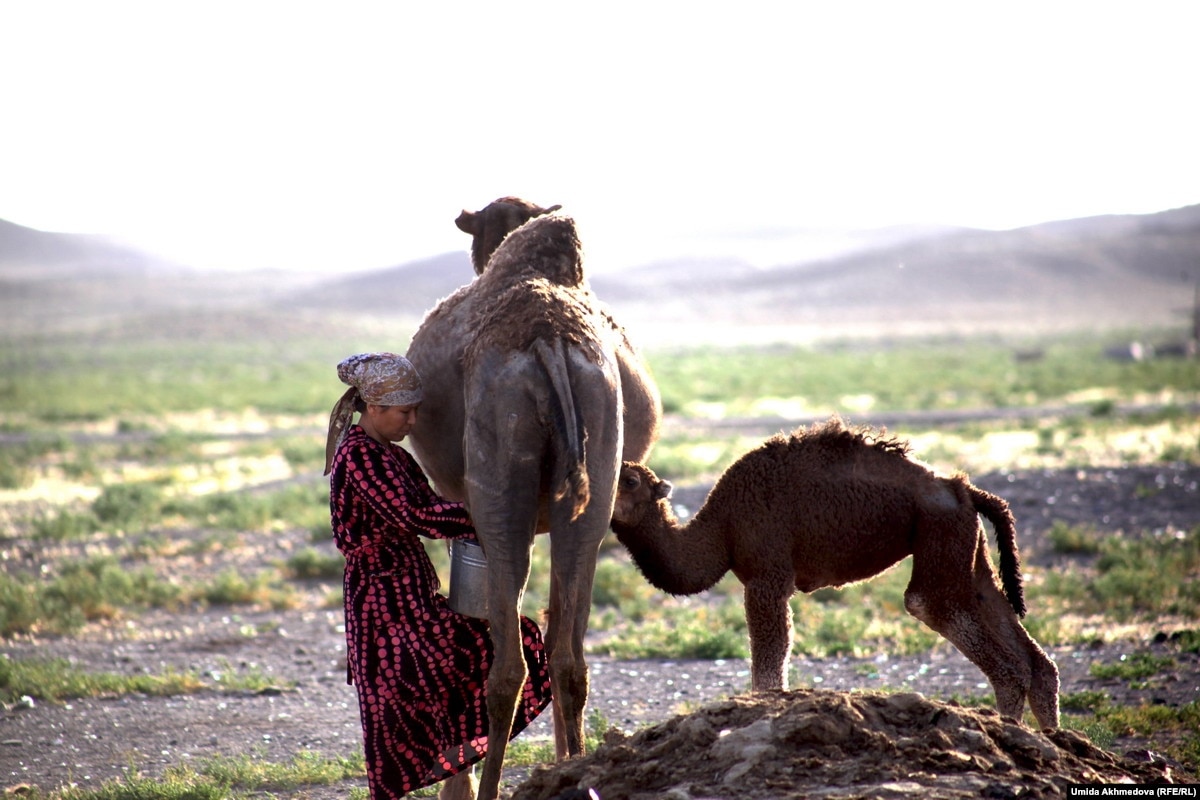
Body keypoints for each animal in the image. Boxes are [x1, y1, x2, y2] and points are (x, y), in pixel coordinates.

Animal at [405, 209, 648, 796]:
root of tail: (550, 343)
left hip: (501, 459)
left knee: (507, 666)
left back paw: (490, 787)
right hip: (598, 455)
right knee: (570, 658)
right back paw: (574, 771)